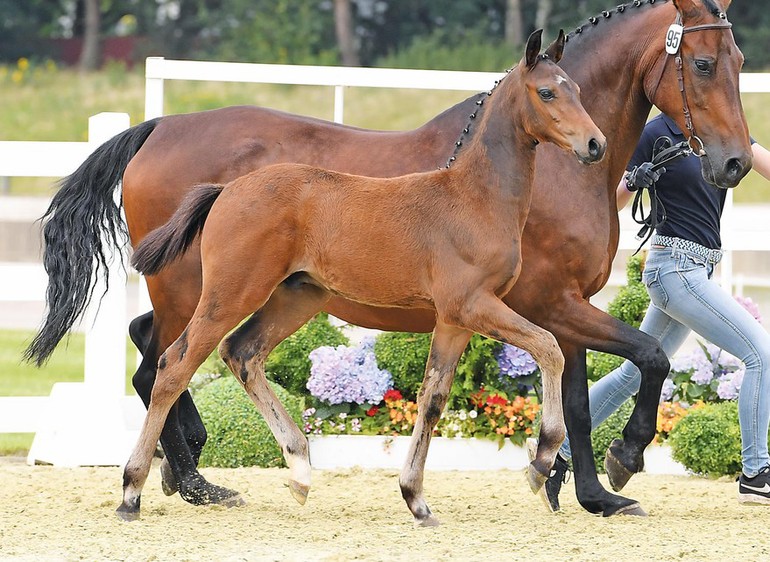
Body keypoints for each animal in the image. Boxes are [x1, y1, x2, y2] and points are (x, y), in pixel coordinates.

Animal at [120, 29, 604, 520]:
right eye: (547, 92)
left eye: (578, 91)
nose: (594, 144)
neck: (475, 198)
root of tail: (226, 190)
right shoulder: (473, 305)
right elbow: (550, 348)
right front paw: (541, 462)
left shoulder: (454, 320)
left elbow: (432, 399)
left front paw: (415, 498)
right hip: (229, 293)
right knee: (172, 366)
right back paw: (133, 490)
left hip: (296, 297)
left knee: (241, 353)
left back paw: (299, 470)